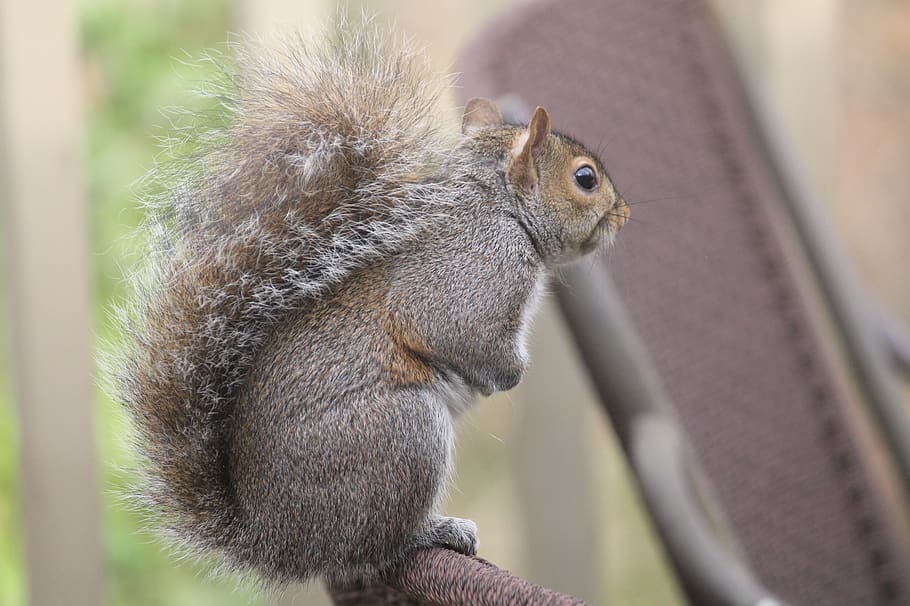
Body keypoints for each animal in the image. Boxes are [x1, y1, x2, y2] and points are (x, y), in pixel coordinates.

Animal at [111, 21, 628, 588]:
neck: (498, 207)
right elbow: (459, 331)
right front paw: (509, 375)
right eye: (585, 178)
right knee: (374, 547)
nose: (624, 213)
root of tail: (278, 541)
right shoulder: (475, 271)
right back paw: (435, 530)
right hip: (402, 435)